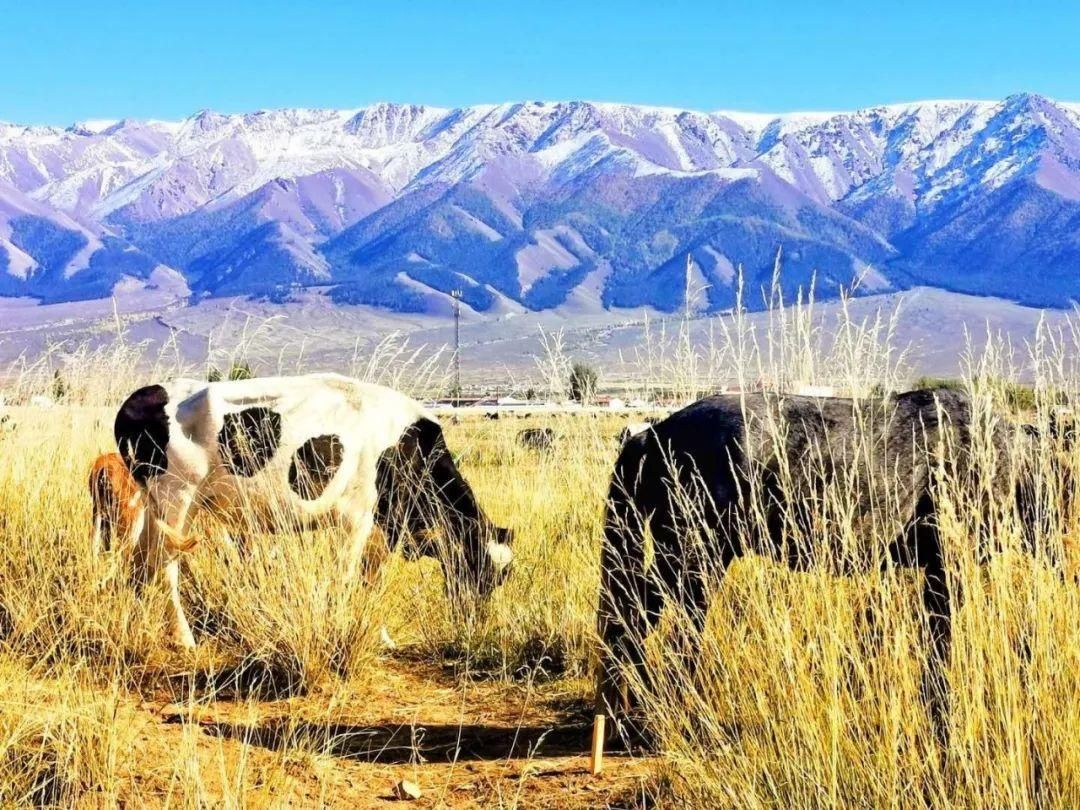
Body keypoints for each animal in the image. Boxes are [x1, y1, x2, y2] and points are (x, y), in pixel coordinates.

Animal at [113, 373, 514, 648]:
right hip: (177, 500)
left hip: (154, 506)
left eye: (500, 576)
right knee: (166, 568)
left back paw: (136, 624)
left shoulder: (385, 527)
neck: (409, 446)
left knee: (139, 563)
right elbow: (350, 577)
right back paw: (185, 638)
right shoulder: (357, 517)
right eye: (482, 569)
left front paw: (381, 637)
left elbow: (372, 580)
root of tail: (147, 393)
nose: (475, 623)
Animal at [596, 390, 1058, 743]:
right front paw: (944, 720)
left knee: (630, 623)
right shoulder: (949, 569)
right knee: (651, 632)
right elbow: (942, 648)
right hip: (695, 563)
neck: (1009, 455)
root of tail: (653, 434)